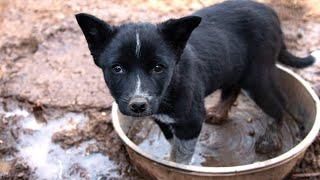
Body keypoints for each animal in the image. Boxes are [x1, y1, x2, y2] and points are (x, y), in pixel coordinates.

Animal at [75, 0, 316, 164]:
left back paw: (270, 141)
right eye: (117, 68)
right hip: (235, 67)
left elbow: (182, 155)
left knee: (279, 103)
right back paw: (219, 112)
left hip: (257, 76)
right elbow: (173, 143)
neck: (170, 87)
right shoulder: (163, 119)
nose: (138, 105)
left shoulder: (191, 121)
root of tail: (271, 12)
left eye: (158, 68)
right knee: (232, 88)